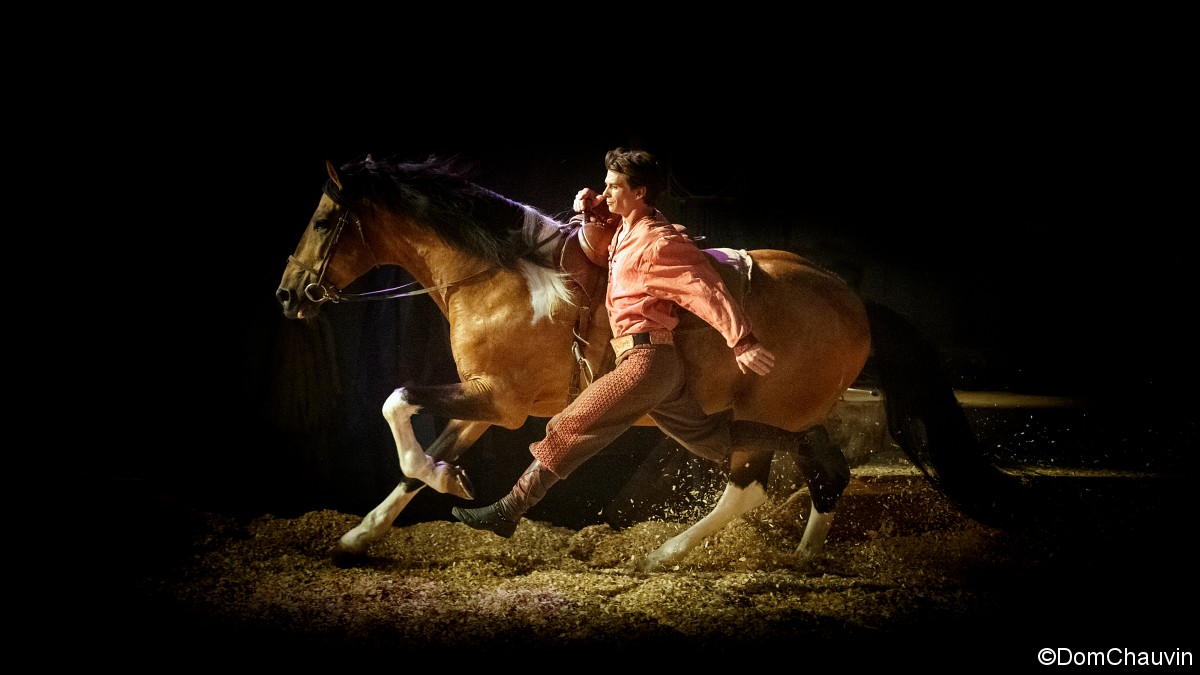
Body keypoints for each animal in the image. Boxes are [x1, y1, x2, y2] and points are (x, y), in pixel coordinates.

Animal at [275, 154, 982, 572]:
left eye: (324, 220)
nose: (287, 293)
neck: (501, 276)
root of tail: (854, 301)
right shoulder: (483, 400)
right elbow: (419, 458)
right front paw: (362, 535)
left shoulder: (498, 400)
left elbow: (397, 404)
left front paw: (453, 486)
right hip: (783, 419)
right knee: (822, 474)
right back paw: (800, 559)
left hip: (763, 419)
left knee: (755, 482)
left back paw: (663, 555)